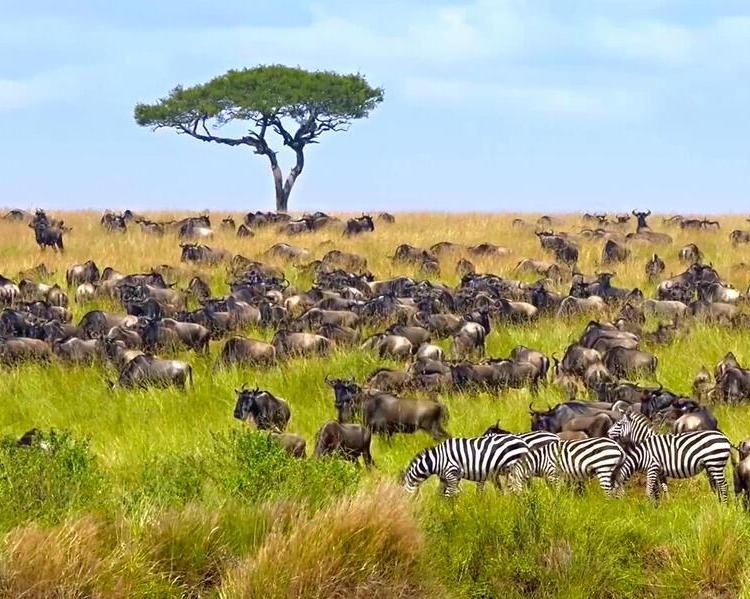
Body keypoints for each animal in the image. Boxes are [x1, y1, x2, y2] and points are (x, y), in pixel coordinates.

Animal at [402, 436, 532, 496]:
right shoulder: (446, 477)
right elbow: (441, 494)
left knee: (518, 489)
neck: (437, 460)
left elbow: (448, 495)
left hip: (514, 470)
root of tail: (524, 443)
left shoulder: (451, 473)